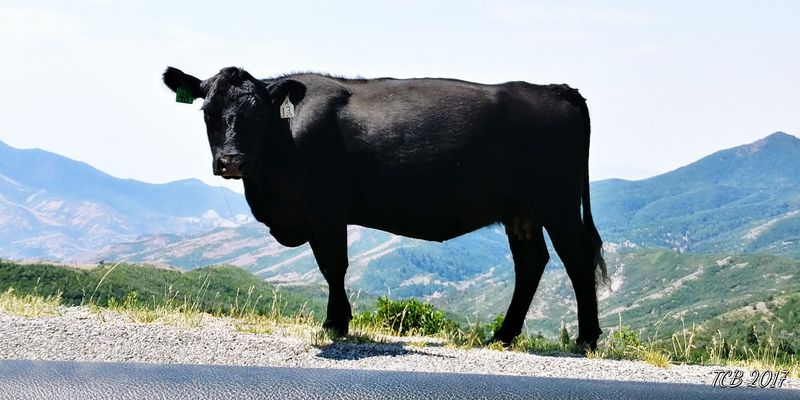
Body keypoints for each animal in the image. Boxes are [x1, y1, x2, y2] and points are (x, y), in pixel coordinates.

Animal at [162, 66, 607, 349]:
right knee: (531, 263)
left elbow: (333, 265)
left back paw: (586, 339)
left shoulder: (327, 208)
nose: (232, 161)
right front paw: (338, 320)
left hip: (558, 204)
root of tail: (556, 89)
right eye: (208, 111)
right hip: (521, 213)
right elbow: (329, 266)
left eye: (256, 113)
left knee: (577, 256)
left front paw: (336, 323)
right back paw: (502, 335)